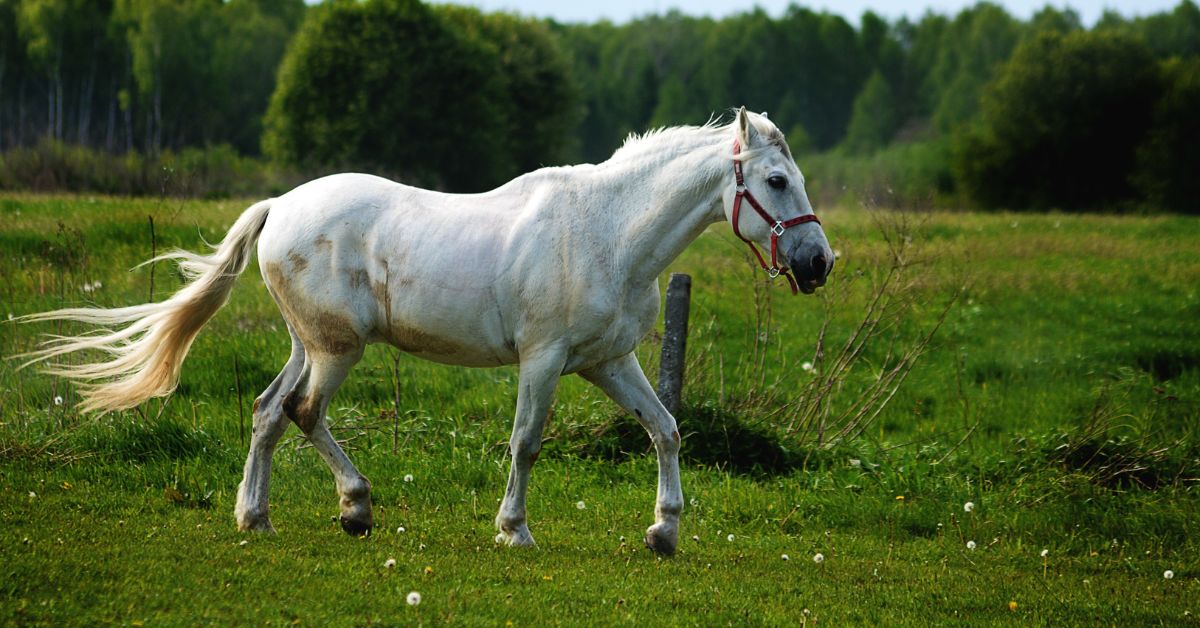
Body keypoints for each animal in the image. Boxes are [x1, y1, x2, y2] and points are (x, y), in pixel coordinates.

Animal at [28, 108, 835, 554]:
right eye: (774, 181)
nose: (818, 263)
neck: (606, 231)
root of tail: (279, 205)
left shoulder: (609, 361)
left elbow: (665, 430)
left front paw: (664, 533)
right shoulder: (543, 360)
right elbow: (526, 442)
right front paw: (514, 530)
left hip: (308, 343)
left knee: (266, 413)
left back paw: (254, 517)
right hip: (337, 349)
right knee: (303, 412)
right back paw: (355, 508)